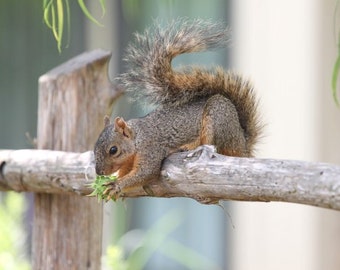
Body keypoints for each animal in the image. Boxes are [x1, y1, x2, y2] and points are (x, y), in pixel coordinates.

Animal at [93, 19, 260, 199]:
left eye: (113, 150)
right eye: (94, 147)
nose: (99, 172)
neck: (137, 139)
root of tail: (243, 144)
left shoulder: (151, 149)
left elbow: (146, 172)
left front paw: (117, 185)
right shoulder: (129, 162)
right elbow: (126, 171)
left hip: (217, 117)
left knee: (212, 145)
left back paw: (189, 146)